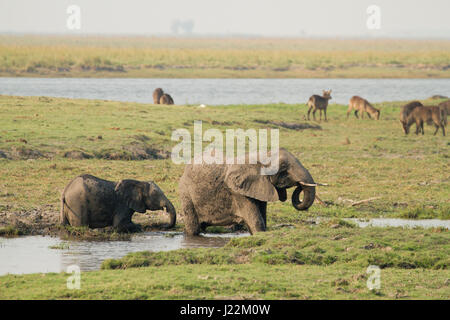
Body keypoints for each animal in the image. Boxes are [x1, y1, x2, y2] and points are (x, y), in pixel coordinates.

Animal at [179, 148, 316, 235]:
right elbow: (256, 221)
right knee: (193, 227)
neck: (261, 155)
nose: (299, 185)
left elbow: (262, 218)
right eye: (283, 167)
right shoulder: (237, 192)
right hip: (185, 191)